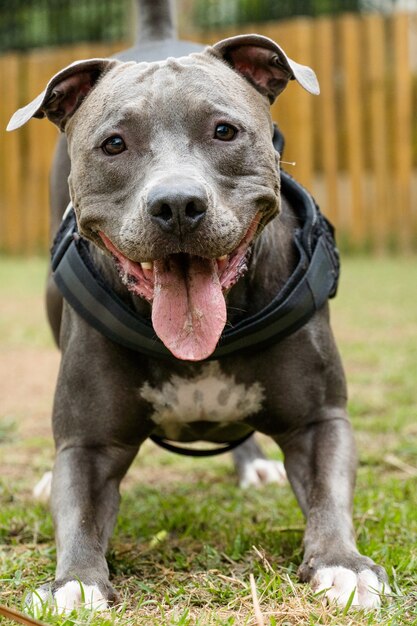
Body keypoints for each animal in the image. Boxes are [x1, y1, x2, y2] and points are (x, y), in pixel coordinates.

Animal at [7, 0, 390, 612]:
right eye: (114, 144)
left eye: (224, 131)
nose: (177, 204)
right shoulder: (89, 445)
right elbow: (78, 514)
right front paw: (74, 582)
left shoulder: (320, 421)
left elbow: (329, 498)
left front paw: (343, 564)